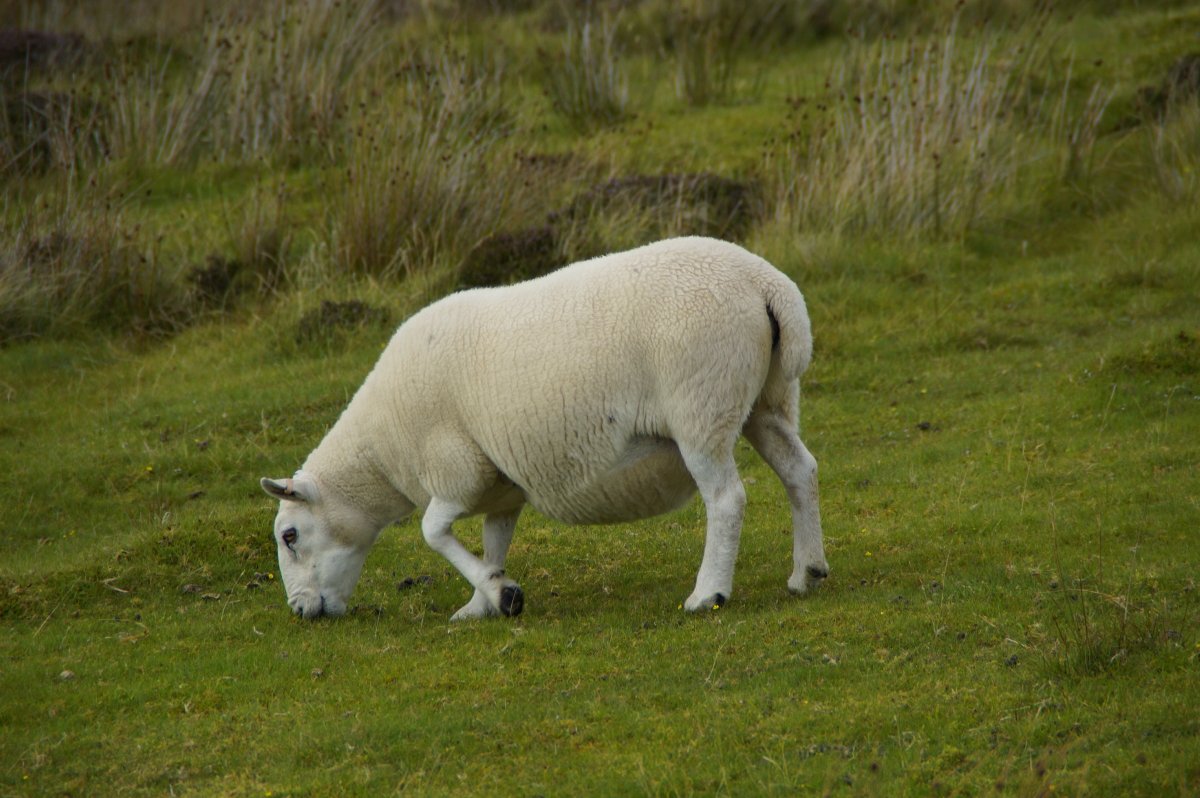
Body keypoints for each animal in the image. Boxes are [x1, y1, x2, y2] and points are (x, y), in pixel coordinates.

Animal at [260, 236, 825, 624]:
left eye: (290, 536)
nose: (300, 610)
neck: (379, 452)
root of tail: (766, 285)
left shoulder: (455, 468)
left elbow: (432, 531)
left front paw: (503, 594)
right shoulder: (499, 483)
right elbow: (494, 540)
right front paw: (482, 600)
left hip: (701, 406)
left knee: (727, 499)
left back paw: (708, 594)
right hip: (765, 401)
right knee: (800, 472)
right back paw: (808, 572)